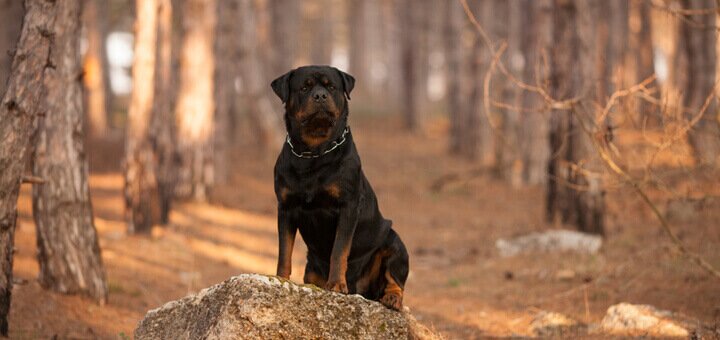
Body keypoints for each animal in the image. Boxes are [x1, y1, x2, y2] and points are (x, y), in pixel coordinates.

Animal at [270, 65, 408, 310]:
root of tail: (362, 291)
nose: (320, 95)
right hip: (312, 269)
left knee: (396, 279)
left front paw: (335, 284)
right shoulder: (285, 207)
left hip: (395, 243)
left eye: (331, 87)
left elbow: (339, 250)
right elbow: (284, 250)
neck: (314, 152)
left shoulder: (348, 207)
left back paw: (392, 298)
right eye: (304, 87)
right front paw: (281, 279)